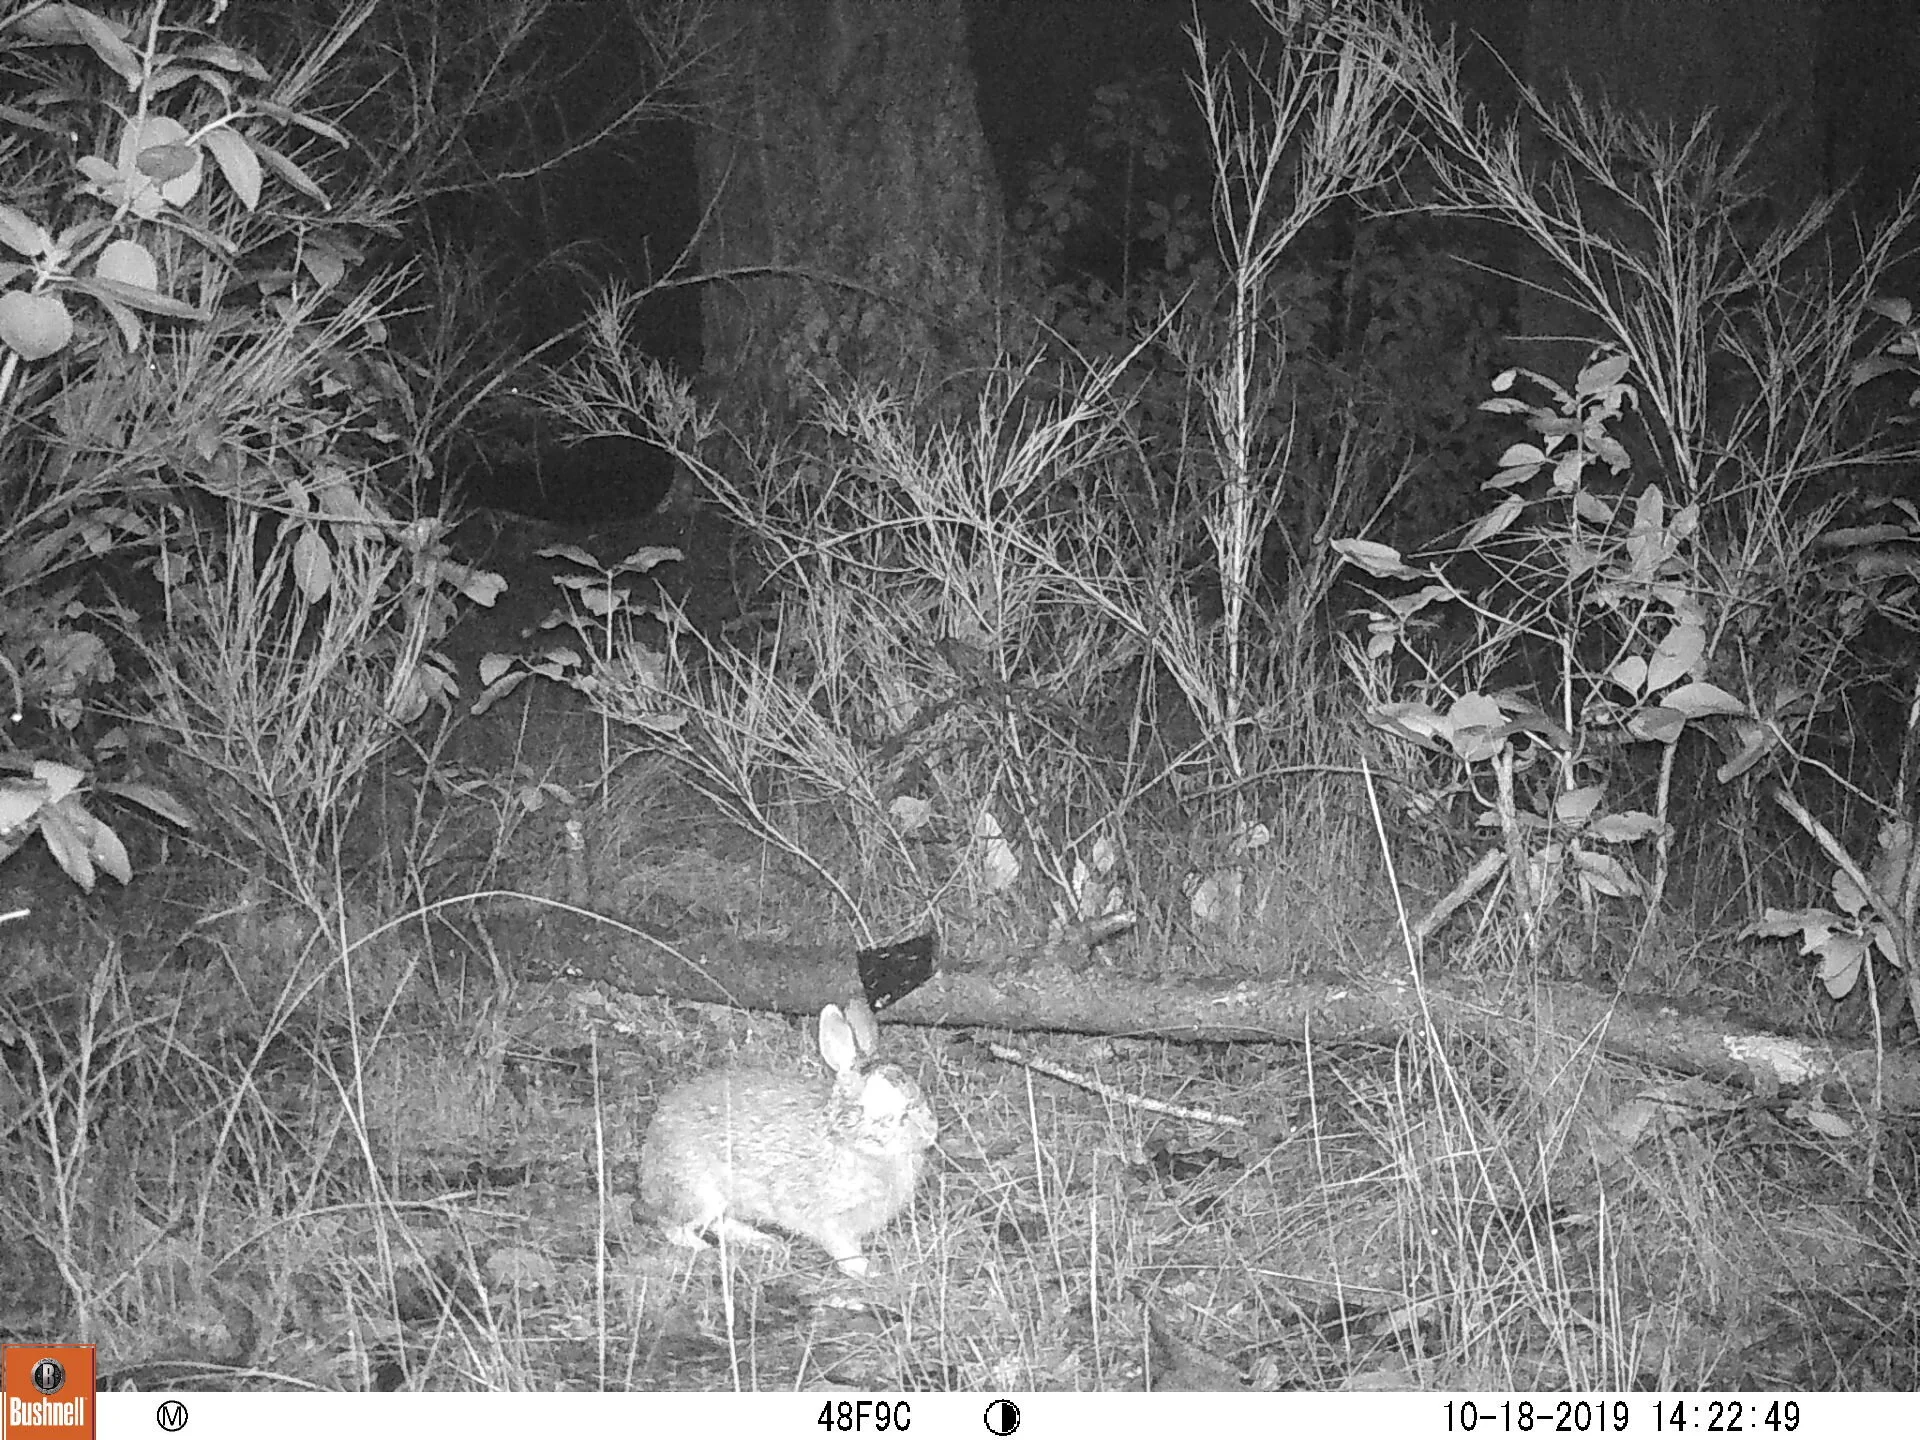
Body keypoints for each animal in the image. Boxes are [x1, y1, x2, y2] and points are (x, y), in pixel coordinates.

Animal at [638, 1002, 938, 1278]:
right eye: (879, 1106)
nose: (930, 1131)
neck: (845, 1141)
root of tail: (650, 1153)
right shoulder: (825, 1218)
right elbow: (840, 1247)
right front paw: (866, 1270)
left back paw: (766, 1242)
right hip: (701, 1193)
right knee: (674, 1224)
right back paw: (706, 1248)